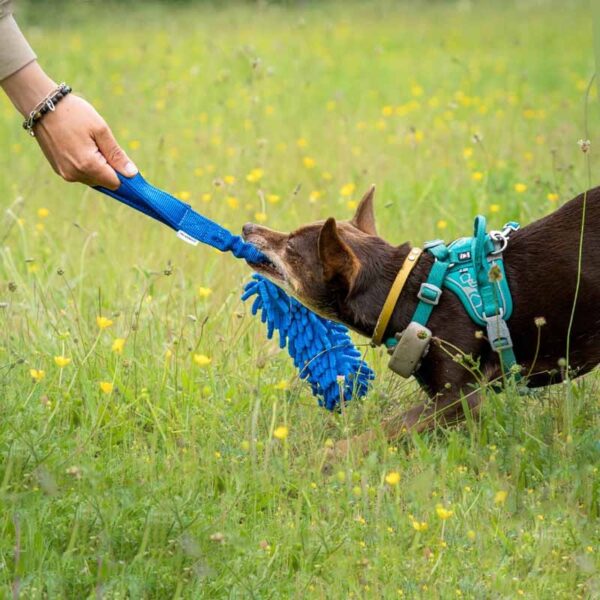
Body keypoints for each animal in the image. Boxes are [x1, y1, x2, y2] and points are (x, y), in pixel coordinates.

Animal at [241, 188, 596, 446]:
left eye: (290, 248)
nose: (247, 227)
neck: (407, 293)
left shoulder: (459, 398)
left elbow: (386, 428)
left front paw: (326, 458)